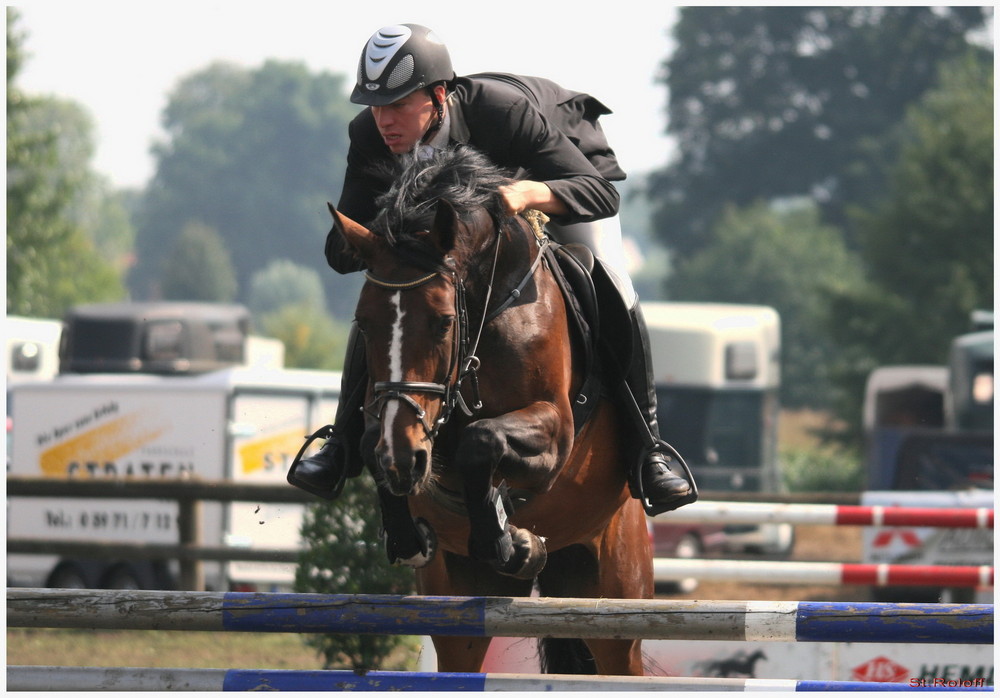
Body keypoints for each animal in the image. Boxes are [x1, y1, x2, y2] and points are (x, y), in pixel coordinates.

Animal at [328, 145, 652, 676]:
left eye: (443, 322)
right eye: (364, 322)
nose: (402, 459)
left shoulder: (555, 432)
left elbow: (482, 441)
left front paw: (509, 542)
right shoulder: (398, 420)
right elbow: (370, 441)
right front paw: (410, 537)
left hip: (615, 597)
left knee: (619, 651)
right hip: (464, 613)